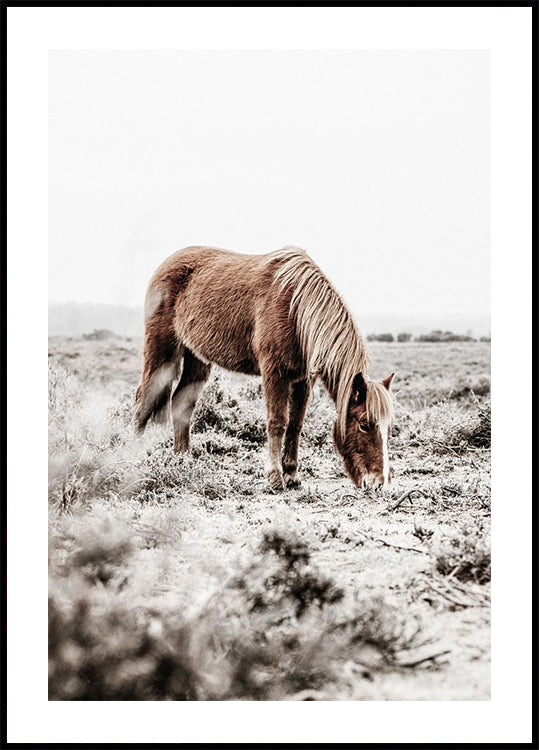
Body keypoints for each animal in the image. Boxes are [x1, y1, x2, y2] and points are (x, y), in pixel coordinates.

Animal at [134, 245, 395, 491]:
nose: (378, 482)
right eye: (364, 425)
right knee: (143, 401)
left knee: (181, 403)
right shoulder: (274, 373)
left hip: (197, 357)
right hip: (162, 352)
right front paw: (275, 477)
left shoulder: (302, 380)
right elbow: (277, 422)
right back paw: (132, 457)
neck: (294, 309)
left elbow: (295, 425)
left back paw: (183, 460)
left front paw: (292, 475)